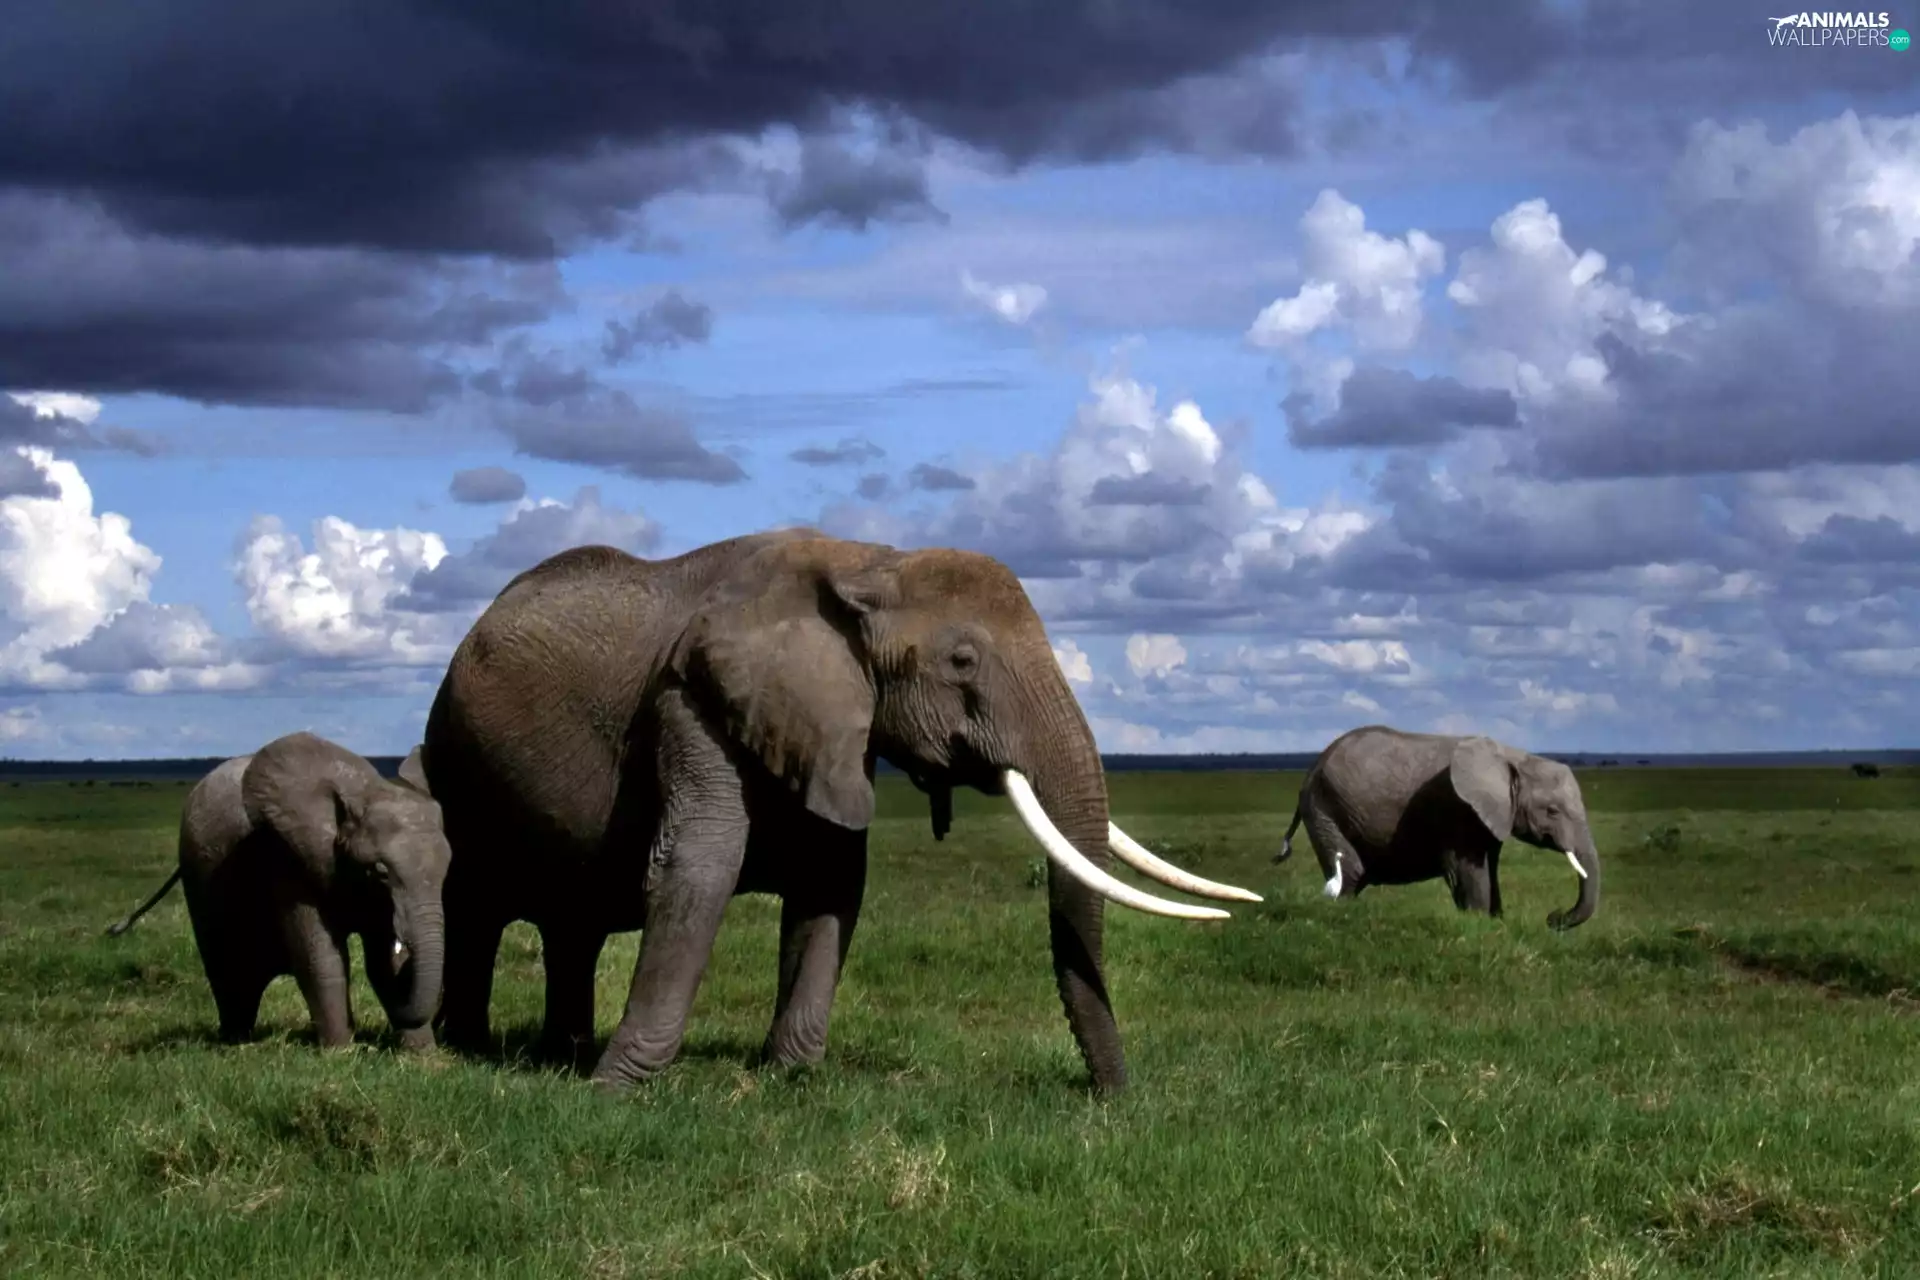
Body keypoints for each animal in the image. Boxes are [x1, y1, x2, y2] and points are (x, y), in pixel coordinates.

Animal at [107, 731, 452, 1049]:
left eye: (446, 869)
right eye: (380, 872)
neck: (364, 791)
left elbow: (384, 961)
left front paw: (423, 1057)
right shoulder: (289, 858)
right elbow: (321, 958)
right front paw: (340, 1053)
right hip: (198, 874)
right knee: (228, 969)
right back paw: (236, 1041)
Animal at [420, 528, 1259, 1094]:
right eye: (961, 661)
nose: (1112, 1097)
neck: (868, 563)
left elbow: (831, 882)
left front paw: (790, 1076)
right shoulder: (693, 699)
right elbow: (698, 867)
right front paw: (618, 1089)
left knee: (573, 924)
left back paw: (557, 1050)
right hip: (453, 762)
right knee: (476, 904)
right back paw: (468, 1048)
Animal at [1273, 725, 1601, 930]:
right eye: (1553, 811)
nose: (1552, 918)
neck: (1513, 756)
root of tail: (1311, 769)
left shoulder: (1491, 815)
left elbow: (1490, 868)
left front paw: (1497, 922)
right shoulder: (1457, 809)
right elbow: (1468, 870)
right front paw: (1479, 925)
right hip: (1324, 807)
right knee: (1350, 873)